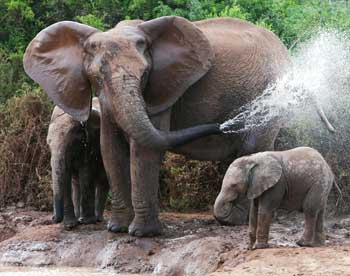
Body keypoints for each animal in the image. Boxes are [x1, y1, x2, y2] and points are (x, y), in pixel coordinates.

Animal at [46, 97, 108, 229]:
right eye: (48, 145)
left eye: (72, 144)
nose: (53, 218)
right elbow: (66, 176)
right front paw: (70, 225)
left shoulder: (90, 143)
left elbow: (85, 171)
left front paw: (87, 222)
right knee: (76, 183)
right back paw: (79, 218)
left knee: (103, 181)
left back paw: (97, 219)